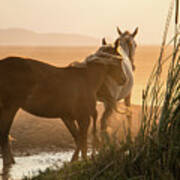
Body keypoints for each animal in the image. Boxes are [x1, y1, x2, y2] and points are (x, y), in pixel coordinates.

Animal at [0, 39, 126, 170]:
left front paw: (74, 161)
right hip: (10, 107)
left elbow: (78, 138)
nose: (124, 79)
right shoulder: (83, 118)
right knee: (4, 134)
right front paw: (83, 161)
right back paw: (8, 164)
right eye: (119, 59)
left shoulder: (67, 117)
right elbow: (83, 141)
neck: (86, 79)